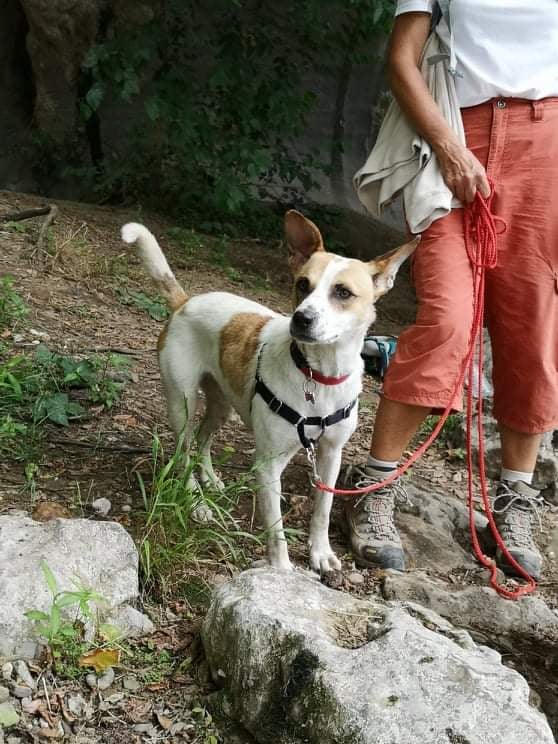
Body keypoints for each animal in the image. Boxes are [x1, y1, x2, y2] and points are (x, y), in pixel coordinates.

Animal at [122, 212, 420, 572]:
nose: (302, 319)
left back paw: (211, 480)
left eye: (343, 292)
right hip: (182, 404)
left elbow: (323, 508)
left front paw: (321, 552)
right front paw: (281, 571)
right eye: (302, 284)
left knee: (203, 439)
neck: (319, 376)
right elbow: (276, 528)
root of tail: (185, 301)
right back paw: (196, 502)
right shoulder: (268, 464)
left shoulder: (331, 455)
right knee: (183, 451)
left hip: (223, 403)